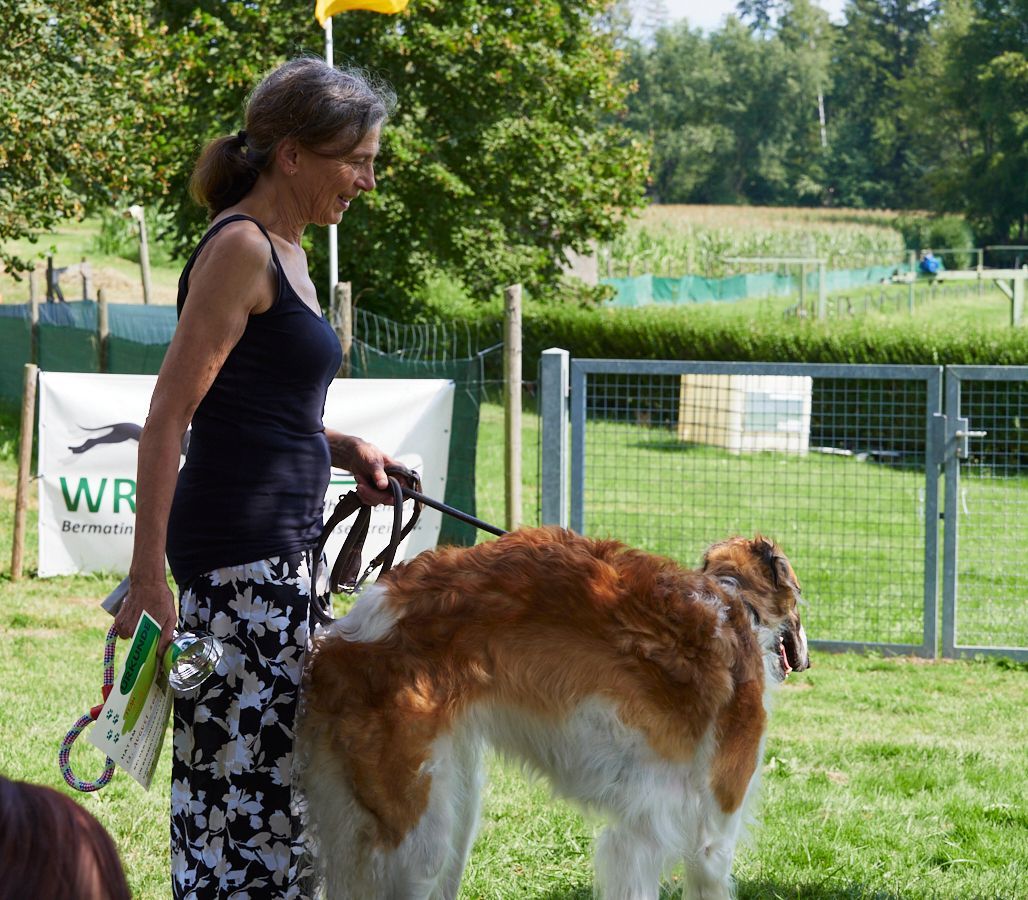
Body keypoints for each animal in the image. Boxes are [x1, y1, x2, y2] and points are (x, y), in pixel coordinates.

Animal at [299, 527, 809, 900]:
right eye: (800, 594)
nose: (805, 659)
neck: (737, 606)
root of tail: (344, 635)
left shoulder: (638, 835)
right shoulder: (712, 834)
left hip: (454, 801)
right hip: (415, 836)